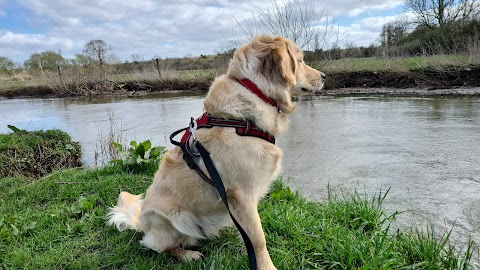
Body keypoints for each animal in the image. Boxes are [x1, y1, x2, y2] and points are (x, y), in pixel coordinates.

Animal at [106, 34, 324, 268]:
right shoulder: (242, 194)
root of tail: (142, 226)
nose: (324, 76)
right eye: (300, 60)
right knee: (163, 248)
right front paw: (266, 266)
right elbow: (258, 239)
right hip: (173, 217)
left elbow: (250, 234)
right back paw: (187, 254)